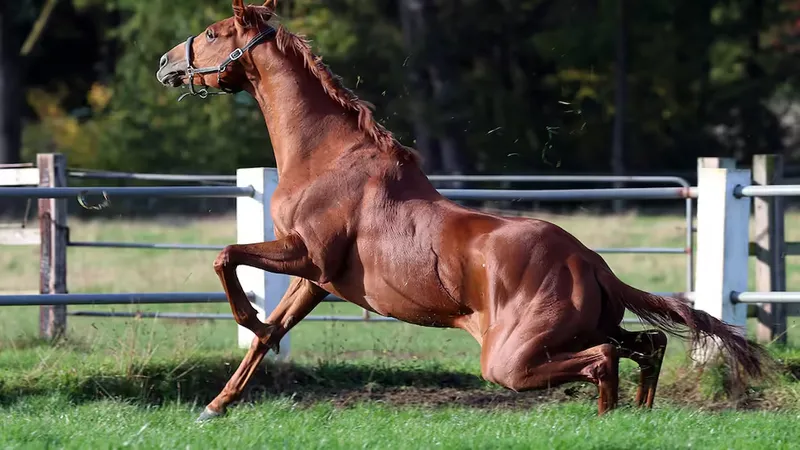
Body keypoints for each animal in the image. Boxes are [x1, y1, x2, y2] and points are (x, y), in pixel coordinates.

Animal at [155, 0, 768, 422]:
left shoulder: (306, 257)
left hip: (512, 357)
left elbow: (226, 256)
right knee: (648, 345)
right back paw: (634, 416)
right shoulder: (316, 280)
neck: (325, 157)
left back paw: (608, 420)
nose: (165, 63)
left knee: (604, 359)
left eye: (211, 33)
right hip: (584, 330)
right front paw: (216, 404)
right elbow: (267, 335)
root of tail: (593, 264)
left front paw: (246, 317)